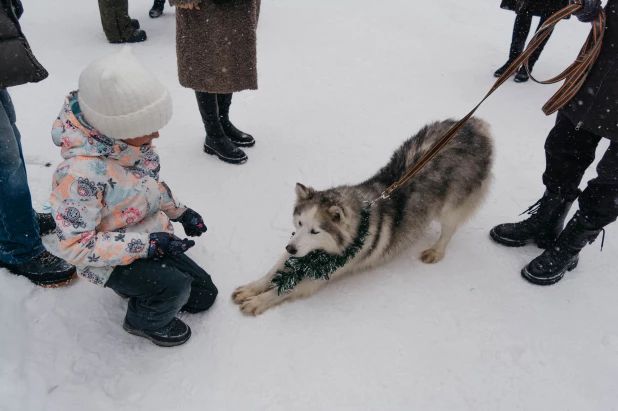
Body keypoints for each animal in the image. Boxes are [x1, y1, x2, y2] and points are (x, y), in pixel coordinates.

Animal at [231, 117, 490, 318]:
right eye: (300, 224)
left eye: (316, 231)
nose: (291, 247)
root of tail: (475, 125)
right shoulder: (300, 249)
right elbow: (273, 272)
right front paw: (253, 288)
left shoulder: (320, 275)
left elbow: (283, 289)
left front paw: (258, 301)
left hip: (454, 204)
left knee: (449, 229)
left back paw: (436, 250)